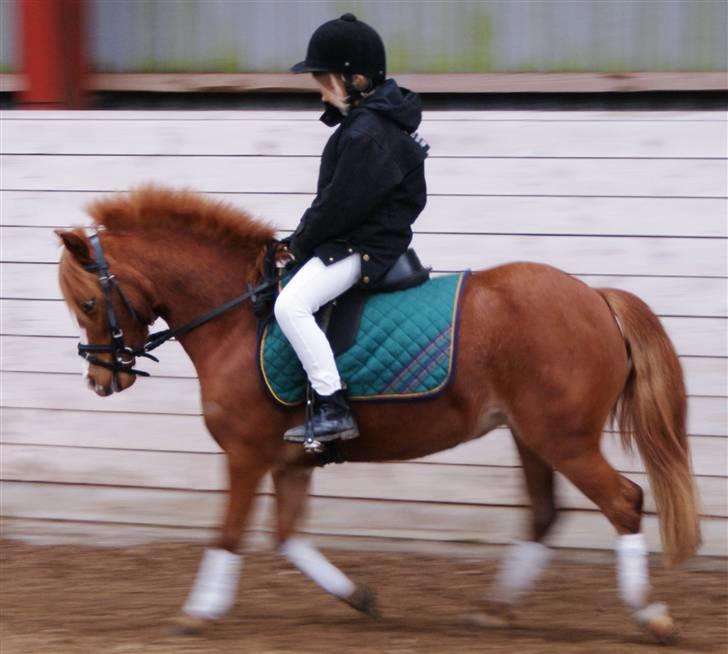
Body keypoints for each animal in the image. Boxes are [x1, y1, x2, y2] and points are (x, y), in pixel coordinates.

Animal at [58, 186, 700, 644]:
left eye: (88, 302)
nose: (101, 380)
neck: (237, 316)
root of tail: (595, 297)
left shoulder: (245, 453)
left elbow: (229, 533)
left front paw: (196, 613)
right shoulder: (290, 461)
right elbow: (287, 538)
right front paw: (360, 597)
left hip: (562, 438)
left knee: (623, 502)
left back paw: (652, 617)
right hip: (532, 437)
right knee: (544, 515)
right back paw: (494, 612)